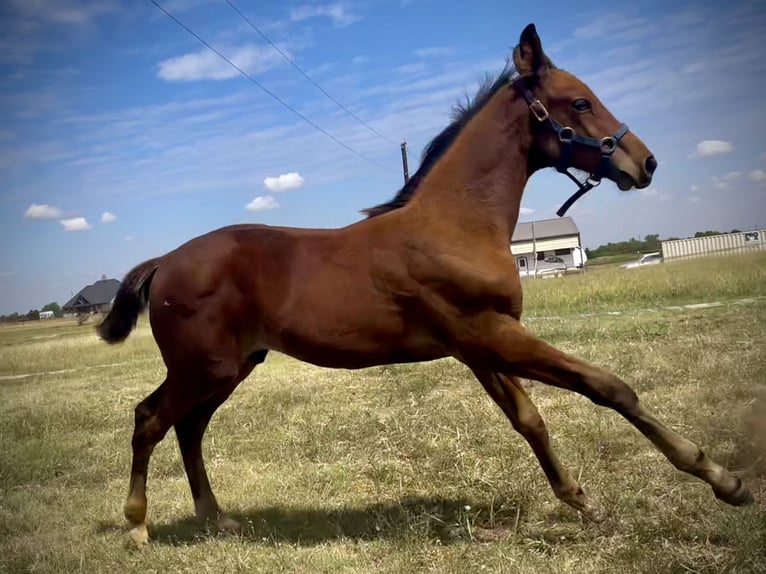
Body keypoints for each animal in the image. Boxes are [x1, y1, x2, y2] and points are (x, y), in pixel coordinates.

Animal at [99, 24, 752, 548]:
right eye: (580, 101)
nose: (646, 164)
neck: (455, 225)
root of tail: (164, 260)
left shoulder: (483, 345)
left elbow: (530, 420)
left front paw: (583, 502)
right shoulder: (490, 335)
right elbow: (608, 387)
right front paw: (723, 480)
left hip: (231, 367)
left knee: (188, 427)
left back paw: (217, 518)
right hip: (202, 368)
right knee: (149, 419)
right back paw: (137, 527)